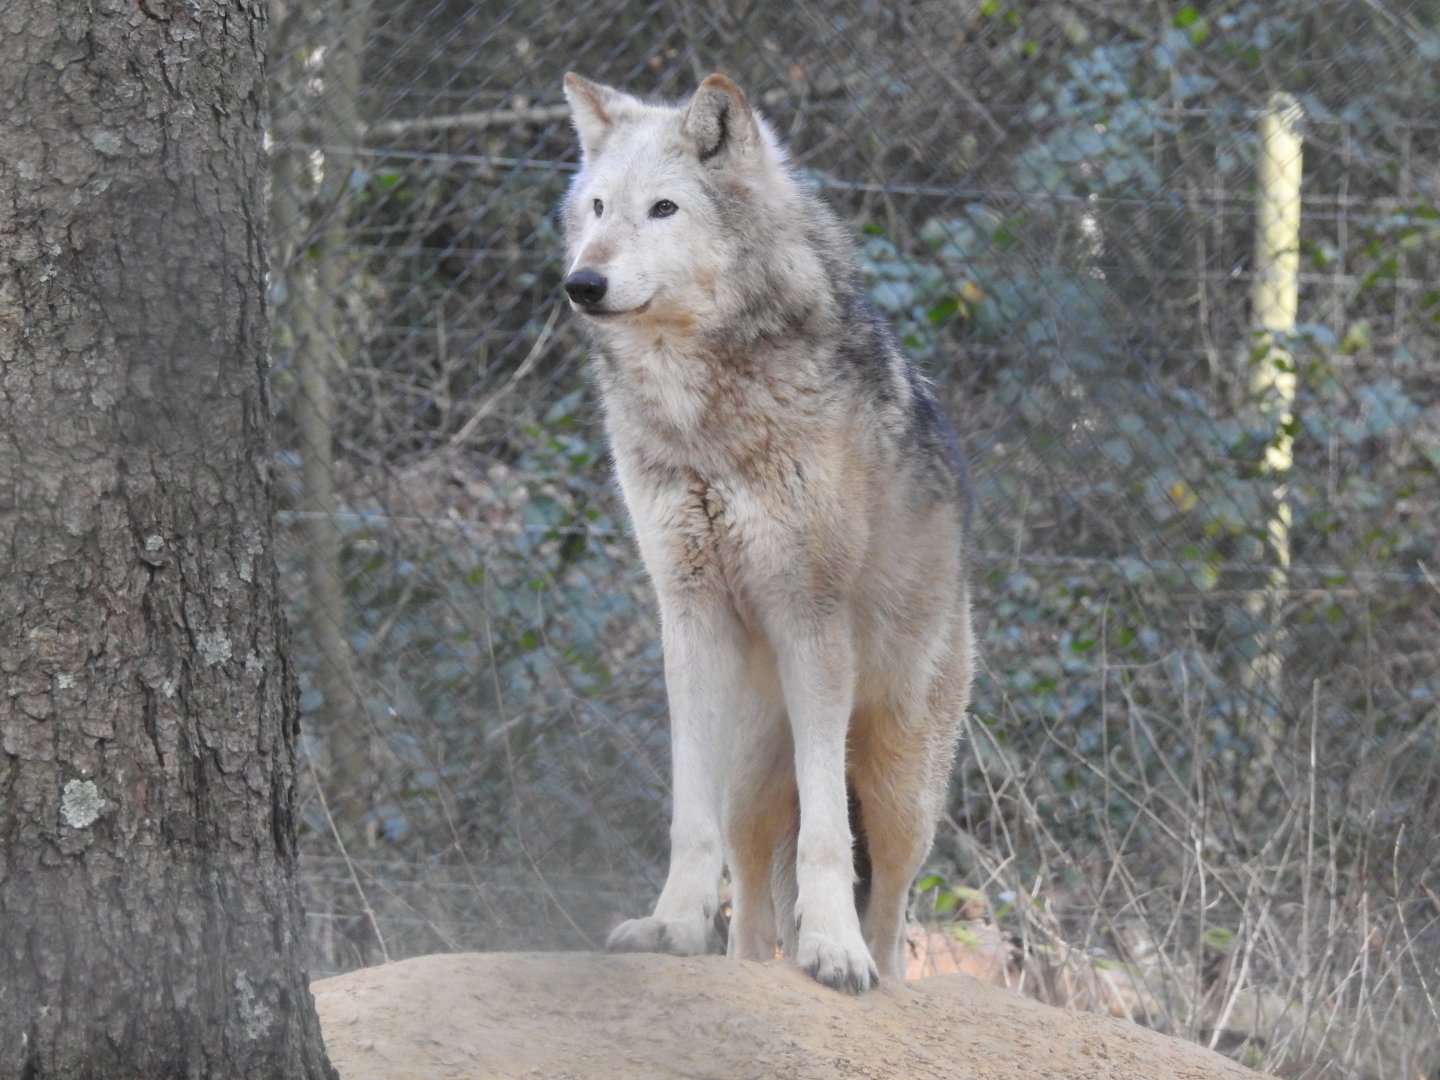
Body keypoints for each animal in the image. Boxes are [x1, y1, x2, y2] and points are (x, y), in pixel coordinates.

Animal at [559, 71, 975, 993]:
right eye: (599, 206)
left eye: (665, 208)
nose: (581, 282)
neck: (703, 414)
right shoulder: (688, 611)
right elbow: (689, 821)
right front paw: (669, 926)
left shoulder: (809, 615)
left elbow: (826, 837)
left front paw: (832, 951)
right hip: (752, 773)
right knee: (749, 902)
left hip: (899, 789)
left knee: (892, 907)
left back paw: (875, 966)